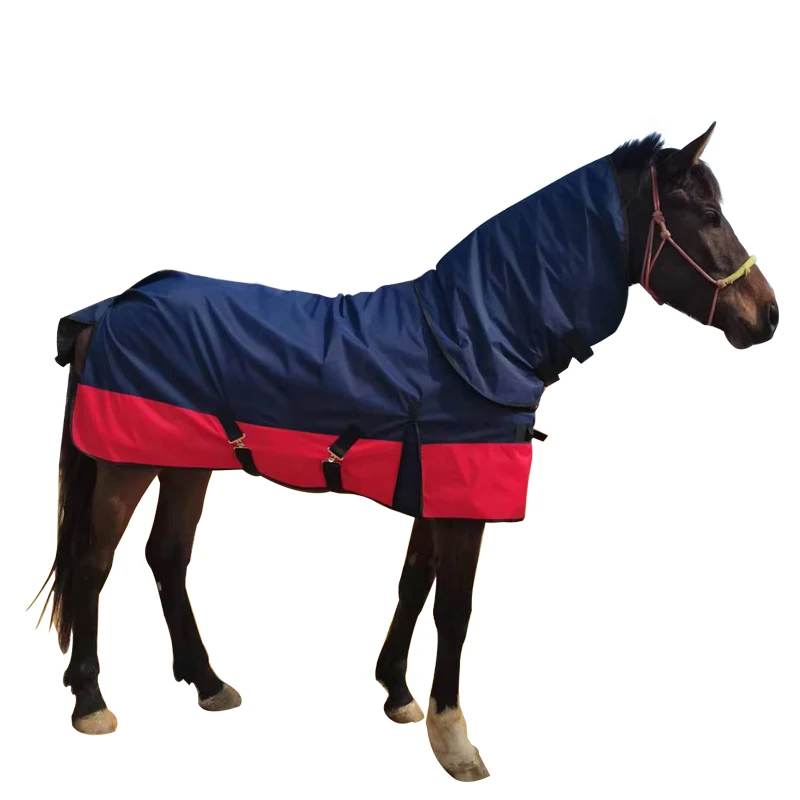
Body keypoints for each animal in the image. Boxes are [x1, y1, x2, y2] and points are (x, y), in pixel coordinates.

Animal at [33, 123, 779, 782]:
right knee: (93, 563)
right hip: (127, 465)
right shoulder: (464, 500)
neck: (475, 336)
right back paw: (91, 700)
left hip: (187, 464)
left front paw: (397, 692)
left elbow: (414, 583)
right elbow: (455, 608)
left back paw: (208, 682)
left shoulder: (438, 489)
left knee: (167, 557)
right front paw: (455, 739)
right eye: (707, 214)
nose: (768, 315)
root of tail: (111, 307)